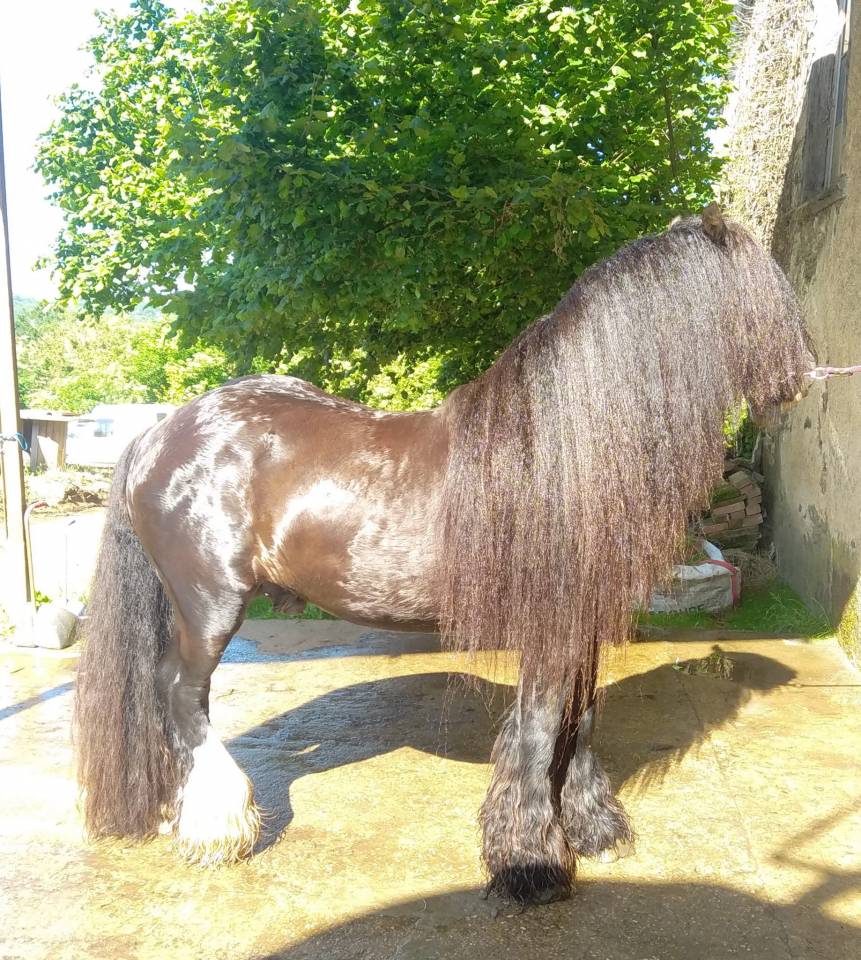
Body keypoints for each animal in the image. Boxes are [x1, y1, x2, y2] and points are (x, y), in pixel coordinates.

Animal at [74, 204, 813, 905]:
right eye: (761, 291)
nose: (803, 378)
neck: (561, 454)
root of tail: (159, 432)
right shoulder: (549, 626)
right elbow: (540, 730)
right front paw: (531, 866)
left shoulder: (583, 624)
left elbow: (579, 723)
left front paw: (593, 832)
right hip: (209, 603)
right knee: (181, 693)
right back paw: (218, 829)